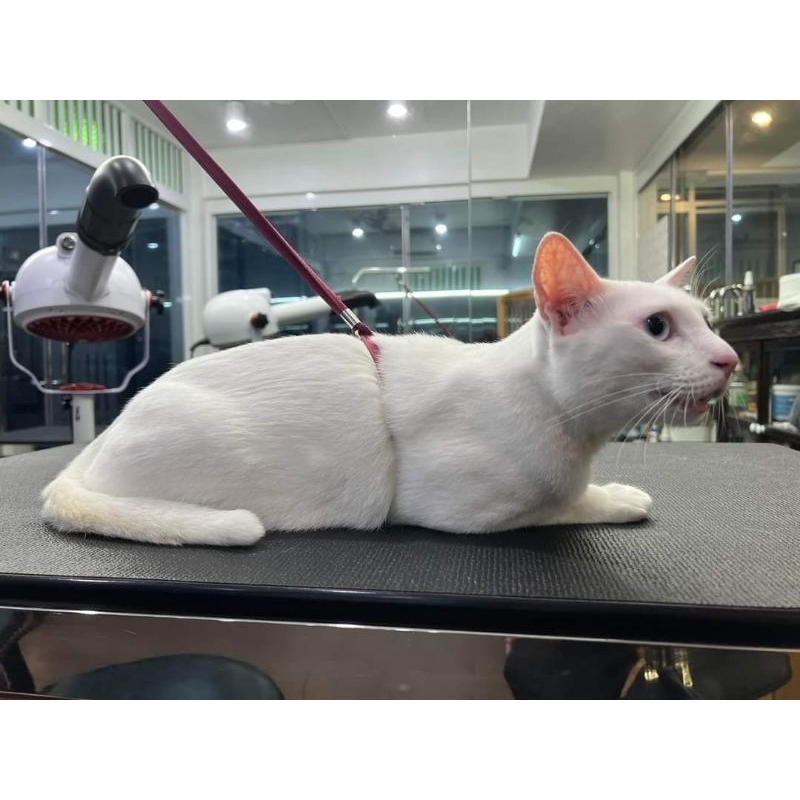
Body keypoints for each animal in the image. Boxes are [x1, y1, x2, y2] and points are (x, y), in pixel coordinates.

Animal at [41, 232, 738, 547]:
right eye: (657, 327)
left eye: (709, 321)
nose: (729, 359)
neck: (574, 434)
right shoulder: (464, 514)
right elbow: (565, 505)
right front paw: (617, 497)